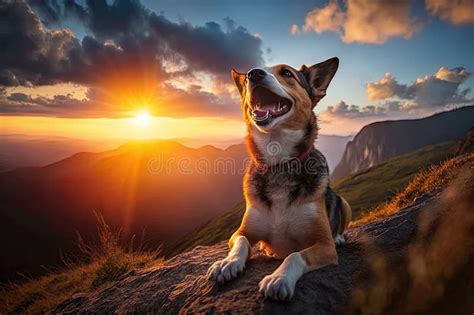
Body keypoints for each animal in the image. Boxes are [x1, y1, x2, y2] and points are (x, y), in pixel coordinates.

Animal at [207, 56, 352, 302]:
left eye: (286, 73)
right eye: (249, 75)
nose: (253, 74)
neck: (279, 163)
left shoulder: (324, 245)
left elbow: (295, 255)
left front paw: (279, 279)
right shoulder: (240, 232)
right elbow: (241, 243)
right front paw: (228, 262)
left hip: (344, 203)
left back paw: (340, 237)